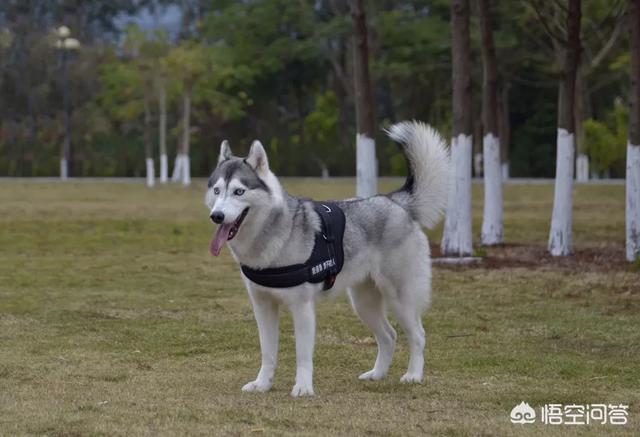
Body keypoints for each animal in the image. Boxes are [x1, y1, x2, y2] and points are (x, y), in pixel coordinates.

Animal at [205, 120, 450, 396]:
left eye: (239, 191)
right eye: (217, 190)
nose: (217, 216)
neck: (274, 234)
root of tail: (394, 202)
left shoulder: (302, 308)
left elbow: (302, 355)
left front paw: (303, 388)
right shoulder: (263, 306)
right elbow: (268, 353)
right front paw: (262, 384)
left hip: (401, 299)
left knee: (418, 335)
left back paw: (413, 375)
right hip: (364, 303)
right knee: (389, 336)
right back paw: (377, 374)